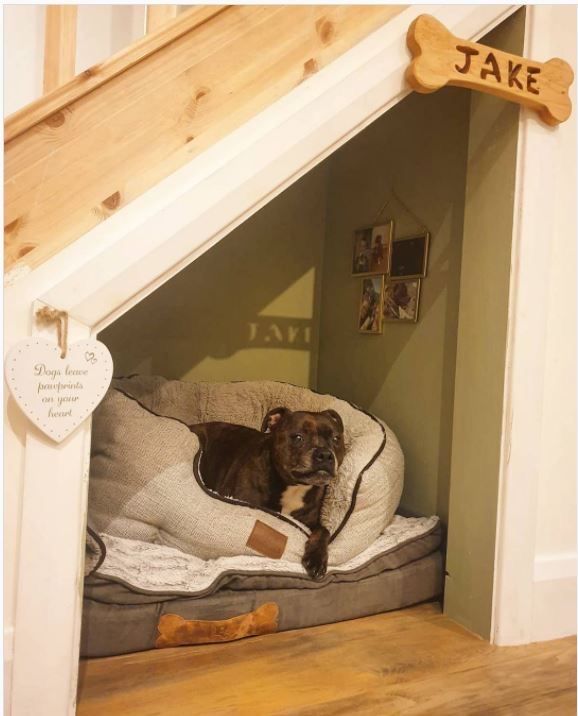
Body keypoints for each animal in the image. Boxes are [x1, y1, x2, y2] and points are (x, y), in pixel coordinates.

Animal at [189, 406, 344, 580]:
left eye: (336, 439)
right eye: (298, 437)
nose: (325, 454)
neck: (294, 486)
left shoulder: (309, 521)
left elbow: (324, 531)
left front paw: (317, 559)